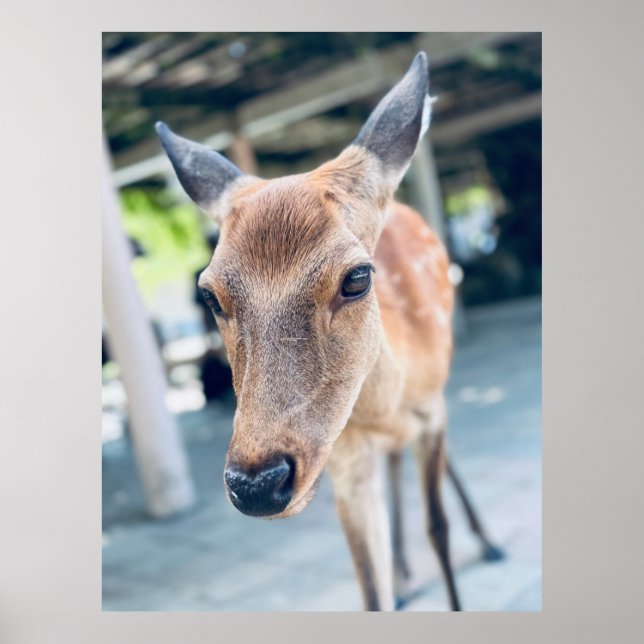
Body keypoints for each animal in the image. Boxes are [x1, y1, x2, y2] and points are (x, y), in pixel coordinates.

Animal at [156, 51, 503, 611]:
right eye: (209, 294)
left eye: (357, 277)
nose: (256, 483)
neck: (386, 405)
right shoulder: (344, 454)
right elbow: (368, 583)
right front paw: (392, 582)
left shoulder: (432, 409)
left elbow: (438, 527)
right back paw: (405, 575)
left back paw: (488, 544)